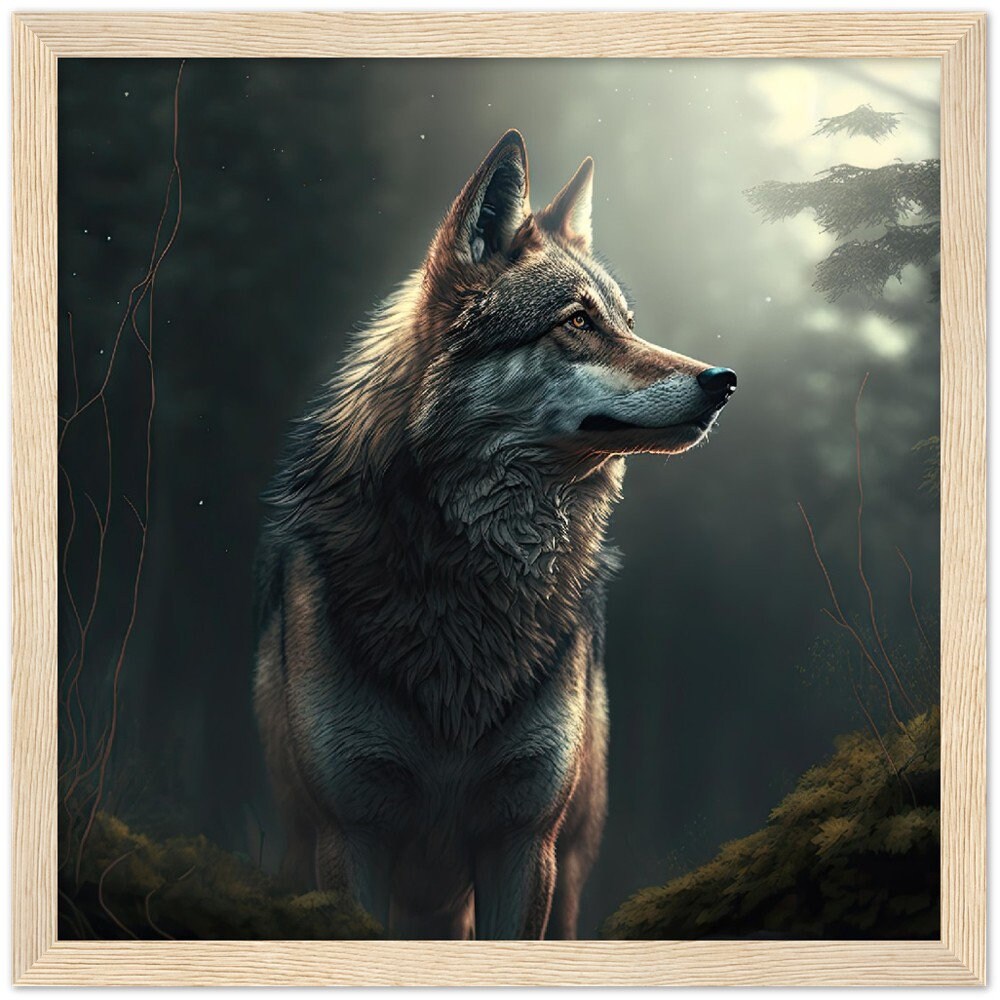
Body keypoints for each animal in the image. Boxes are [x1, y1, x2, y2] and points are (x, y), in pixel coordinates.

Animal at [253, 130, 736, 940]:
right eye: (577, 322)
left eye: (627, 324)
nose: (724, 380)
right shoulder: (350, 836)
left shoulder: (523, 841)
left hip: (565, 868)